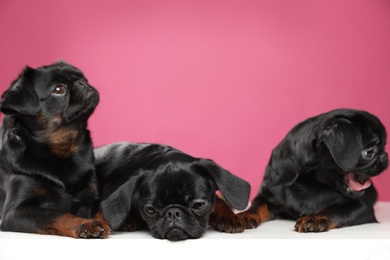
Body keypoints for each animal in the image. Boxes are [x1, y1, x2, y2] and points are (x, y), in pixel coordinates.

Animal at [0, 62, 111, 239]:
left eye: (83, 78)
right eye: (58, 89)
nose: (81, 83)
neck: (61, 152)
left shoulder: (90, 197)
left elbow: (99, 209)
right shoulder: (14, 212)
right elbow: (56, 213)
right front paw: (84, 223)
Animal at [213, 108, 386, 233]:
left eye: (383, 146)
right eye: (369, 152)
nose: (385, 157)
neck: (309, 180)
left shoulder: (362, 207)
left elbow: (335, 210)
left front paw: (316, 218)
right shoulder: (268, 197)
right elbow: (256, 206)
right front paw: (244, 215)